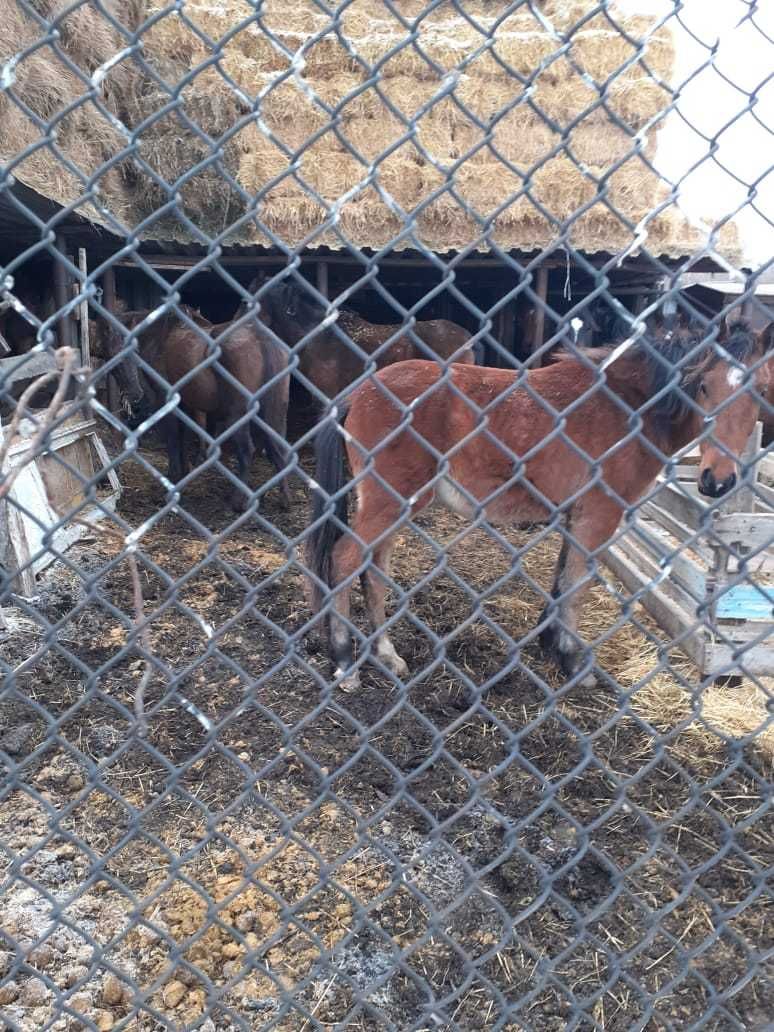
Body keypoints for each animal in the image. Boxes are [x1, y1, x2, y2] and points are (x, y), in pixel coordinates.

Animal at [305, 313, 771, 685]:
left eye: (761, 391)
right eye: (704, 386)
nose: (716, 481)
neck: (629, 405)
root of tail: (360, 391)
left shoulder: (576, 516)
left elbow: (563, 579)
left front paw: (552, 645)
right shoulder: (600, 515)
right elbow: (578, 585)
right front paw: (574, 662)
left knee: (374, 569)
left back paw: (385, 655)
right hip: (389, 503)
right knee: (345, 560)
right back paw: (344, 662)